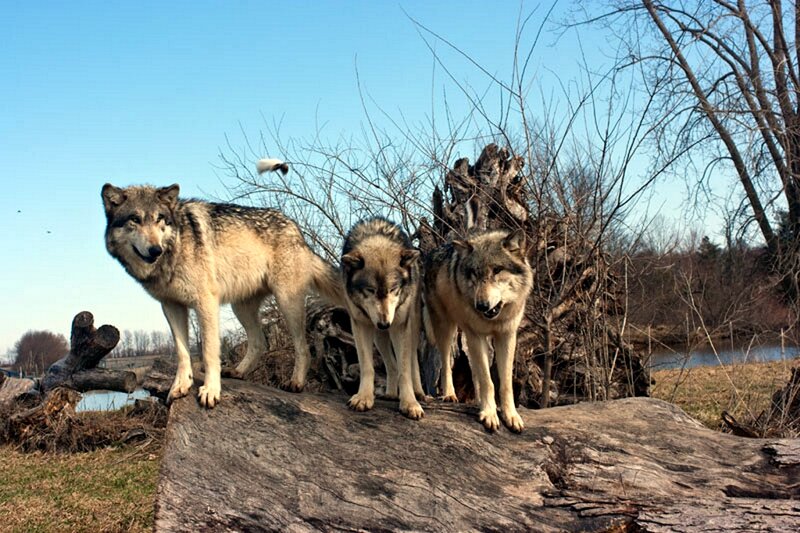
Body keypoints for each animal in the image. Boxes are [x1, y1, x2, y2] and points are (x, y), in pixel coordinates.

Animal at [101, 160, 344, 408]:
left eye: (160, 219)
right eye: (135, 219)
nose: (155, 249)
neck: (175, 249)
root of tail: (297, 231)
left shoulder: (206, 303)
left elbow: (209, 352)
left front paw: (210, 390)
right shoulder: (171, 306)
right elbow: (182, 352)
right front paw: (181, 386)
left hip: (286, 301)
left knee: (303, 347)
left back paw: (296, 383)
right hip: (241, 308)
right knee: (260, 342)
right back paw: (239, 371)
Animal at [340, 217, 425, 420]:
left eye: (393, 289)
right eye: (370, 290)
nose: (384, 323)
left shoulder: (400, 326)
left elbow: (404, 369)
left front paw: (410, 403)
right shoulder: (361, 325)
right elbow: (367, 367)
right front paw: (363, 398)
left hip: (411, 328)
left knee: (412, 361)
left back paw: (419, 393)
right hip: (379, 338)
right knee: (391, 364)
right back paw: (391, 394)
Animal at [423, 228, 532, 432]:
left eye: (497, 270)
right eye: (474, 272)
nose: (481, 305)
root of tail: (433, 252)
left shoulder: (507, 336)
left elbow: (504, 383)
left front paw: (511, 415)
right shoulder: (476, 334)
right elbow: (487, 381)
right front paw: (489, 414)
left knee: (475, 371)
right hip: (447, 328)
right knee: (445, 361)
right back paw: (449, 394)